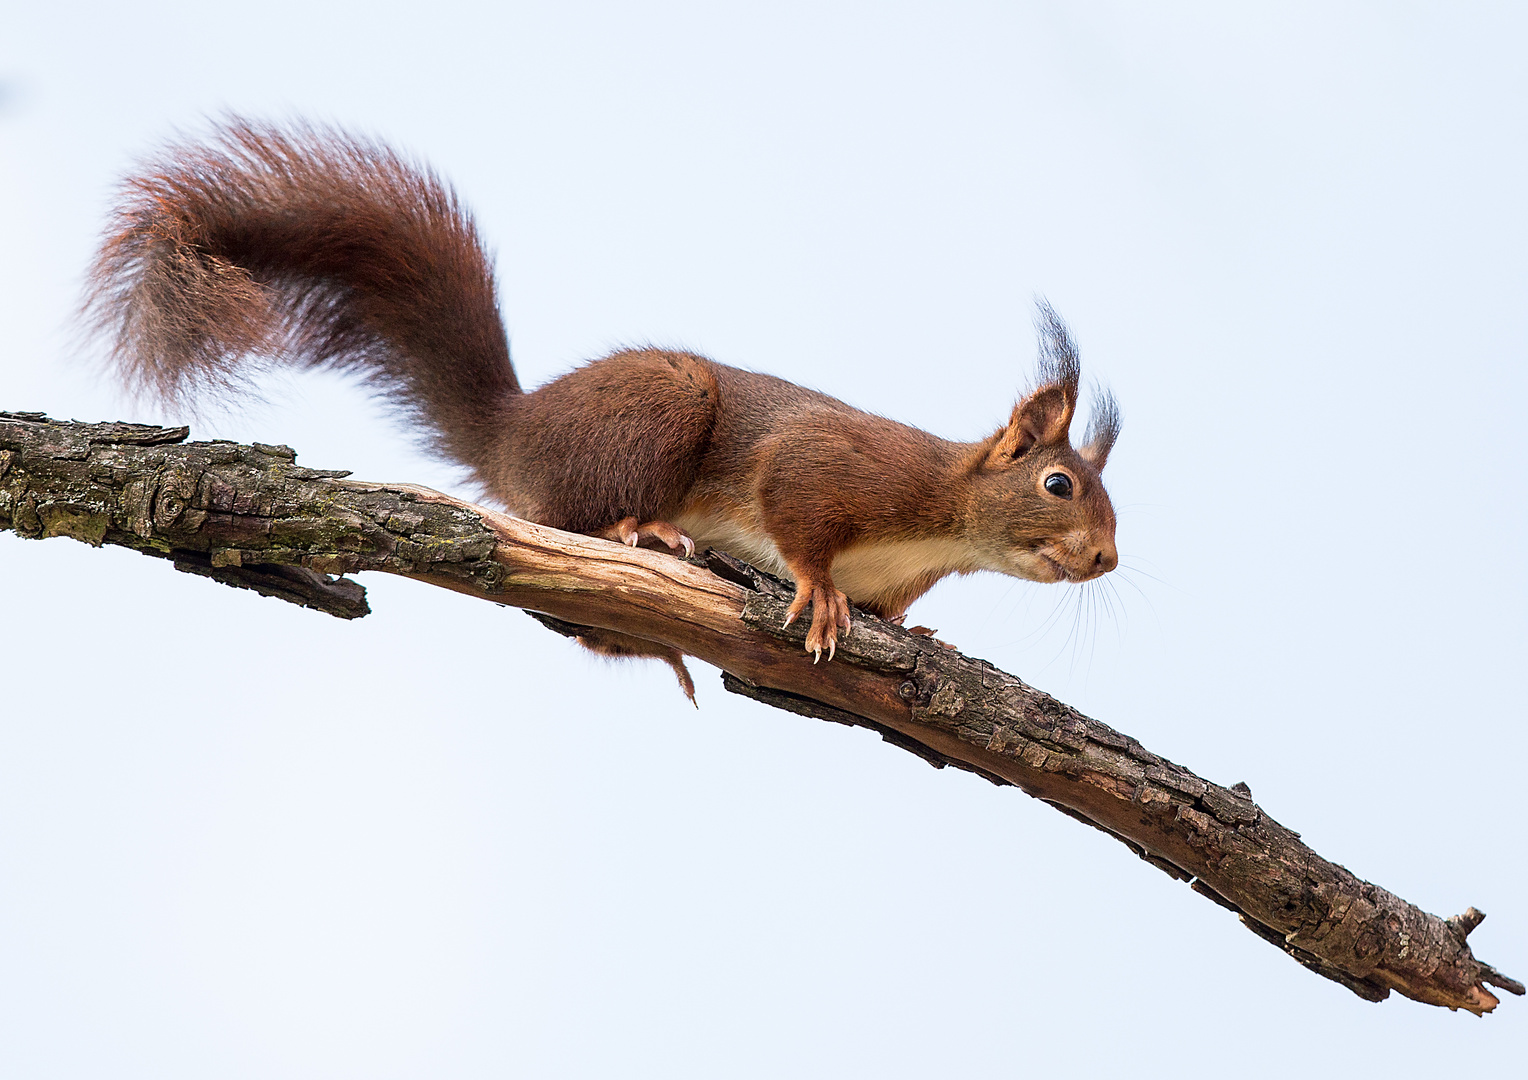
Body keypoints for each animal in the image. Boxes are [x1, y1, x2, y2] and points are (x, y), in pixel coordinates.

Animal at [83, 116, 1124, 693]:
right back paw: (644, 531)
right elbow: (798, 516)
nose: (1107, 560)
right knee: (578, 520)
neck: (940, 525)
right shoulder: (835, 467)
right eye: (1061, 484)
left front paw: (914, 631)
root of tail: (516, 432)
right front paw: (823, 593)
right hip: (660, 411)